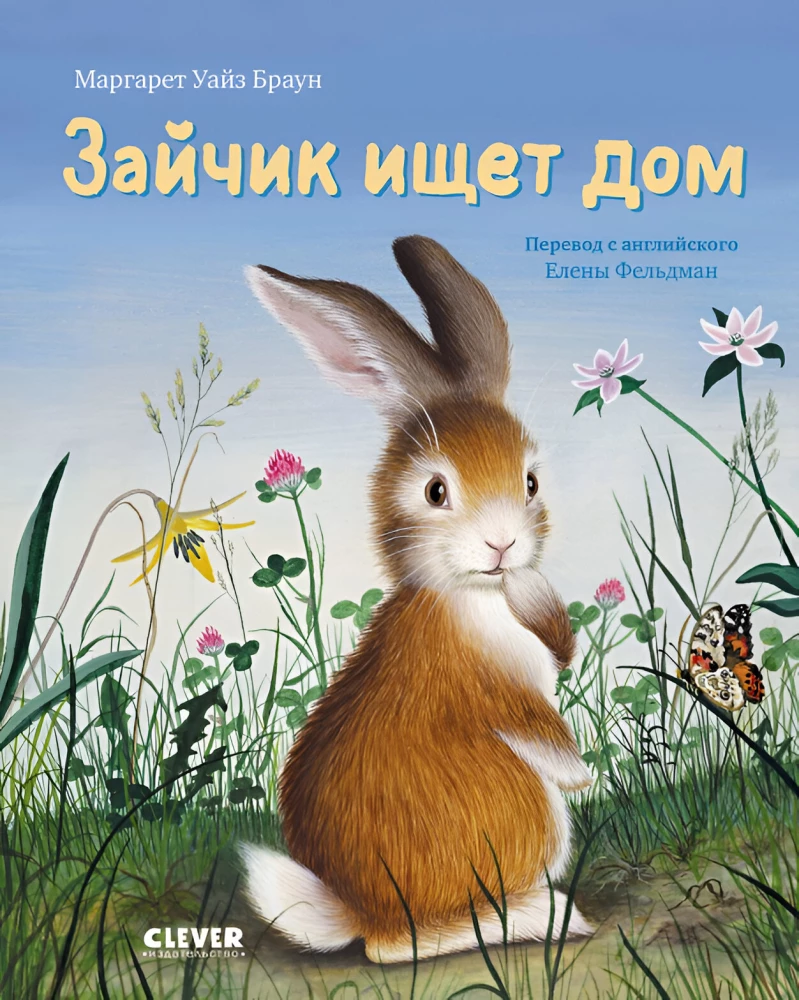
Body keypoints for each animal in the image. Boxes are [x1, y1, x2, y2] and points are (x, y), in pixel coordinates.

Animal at [240, 235, 593, 963]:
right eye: (436, 492)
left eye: (530, 480)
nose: (501, 544)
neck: (471, 593)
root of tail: (361, 912)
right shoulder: (495, 687)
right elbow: (538, 727)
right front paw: (583, 775)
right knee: (399, 947)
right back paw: (546, 918)